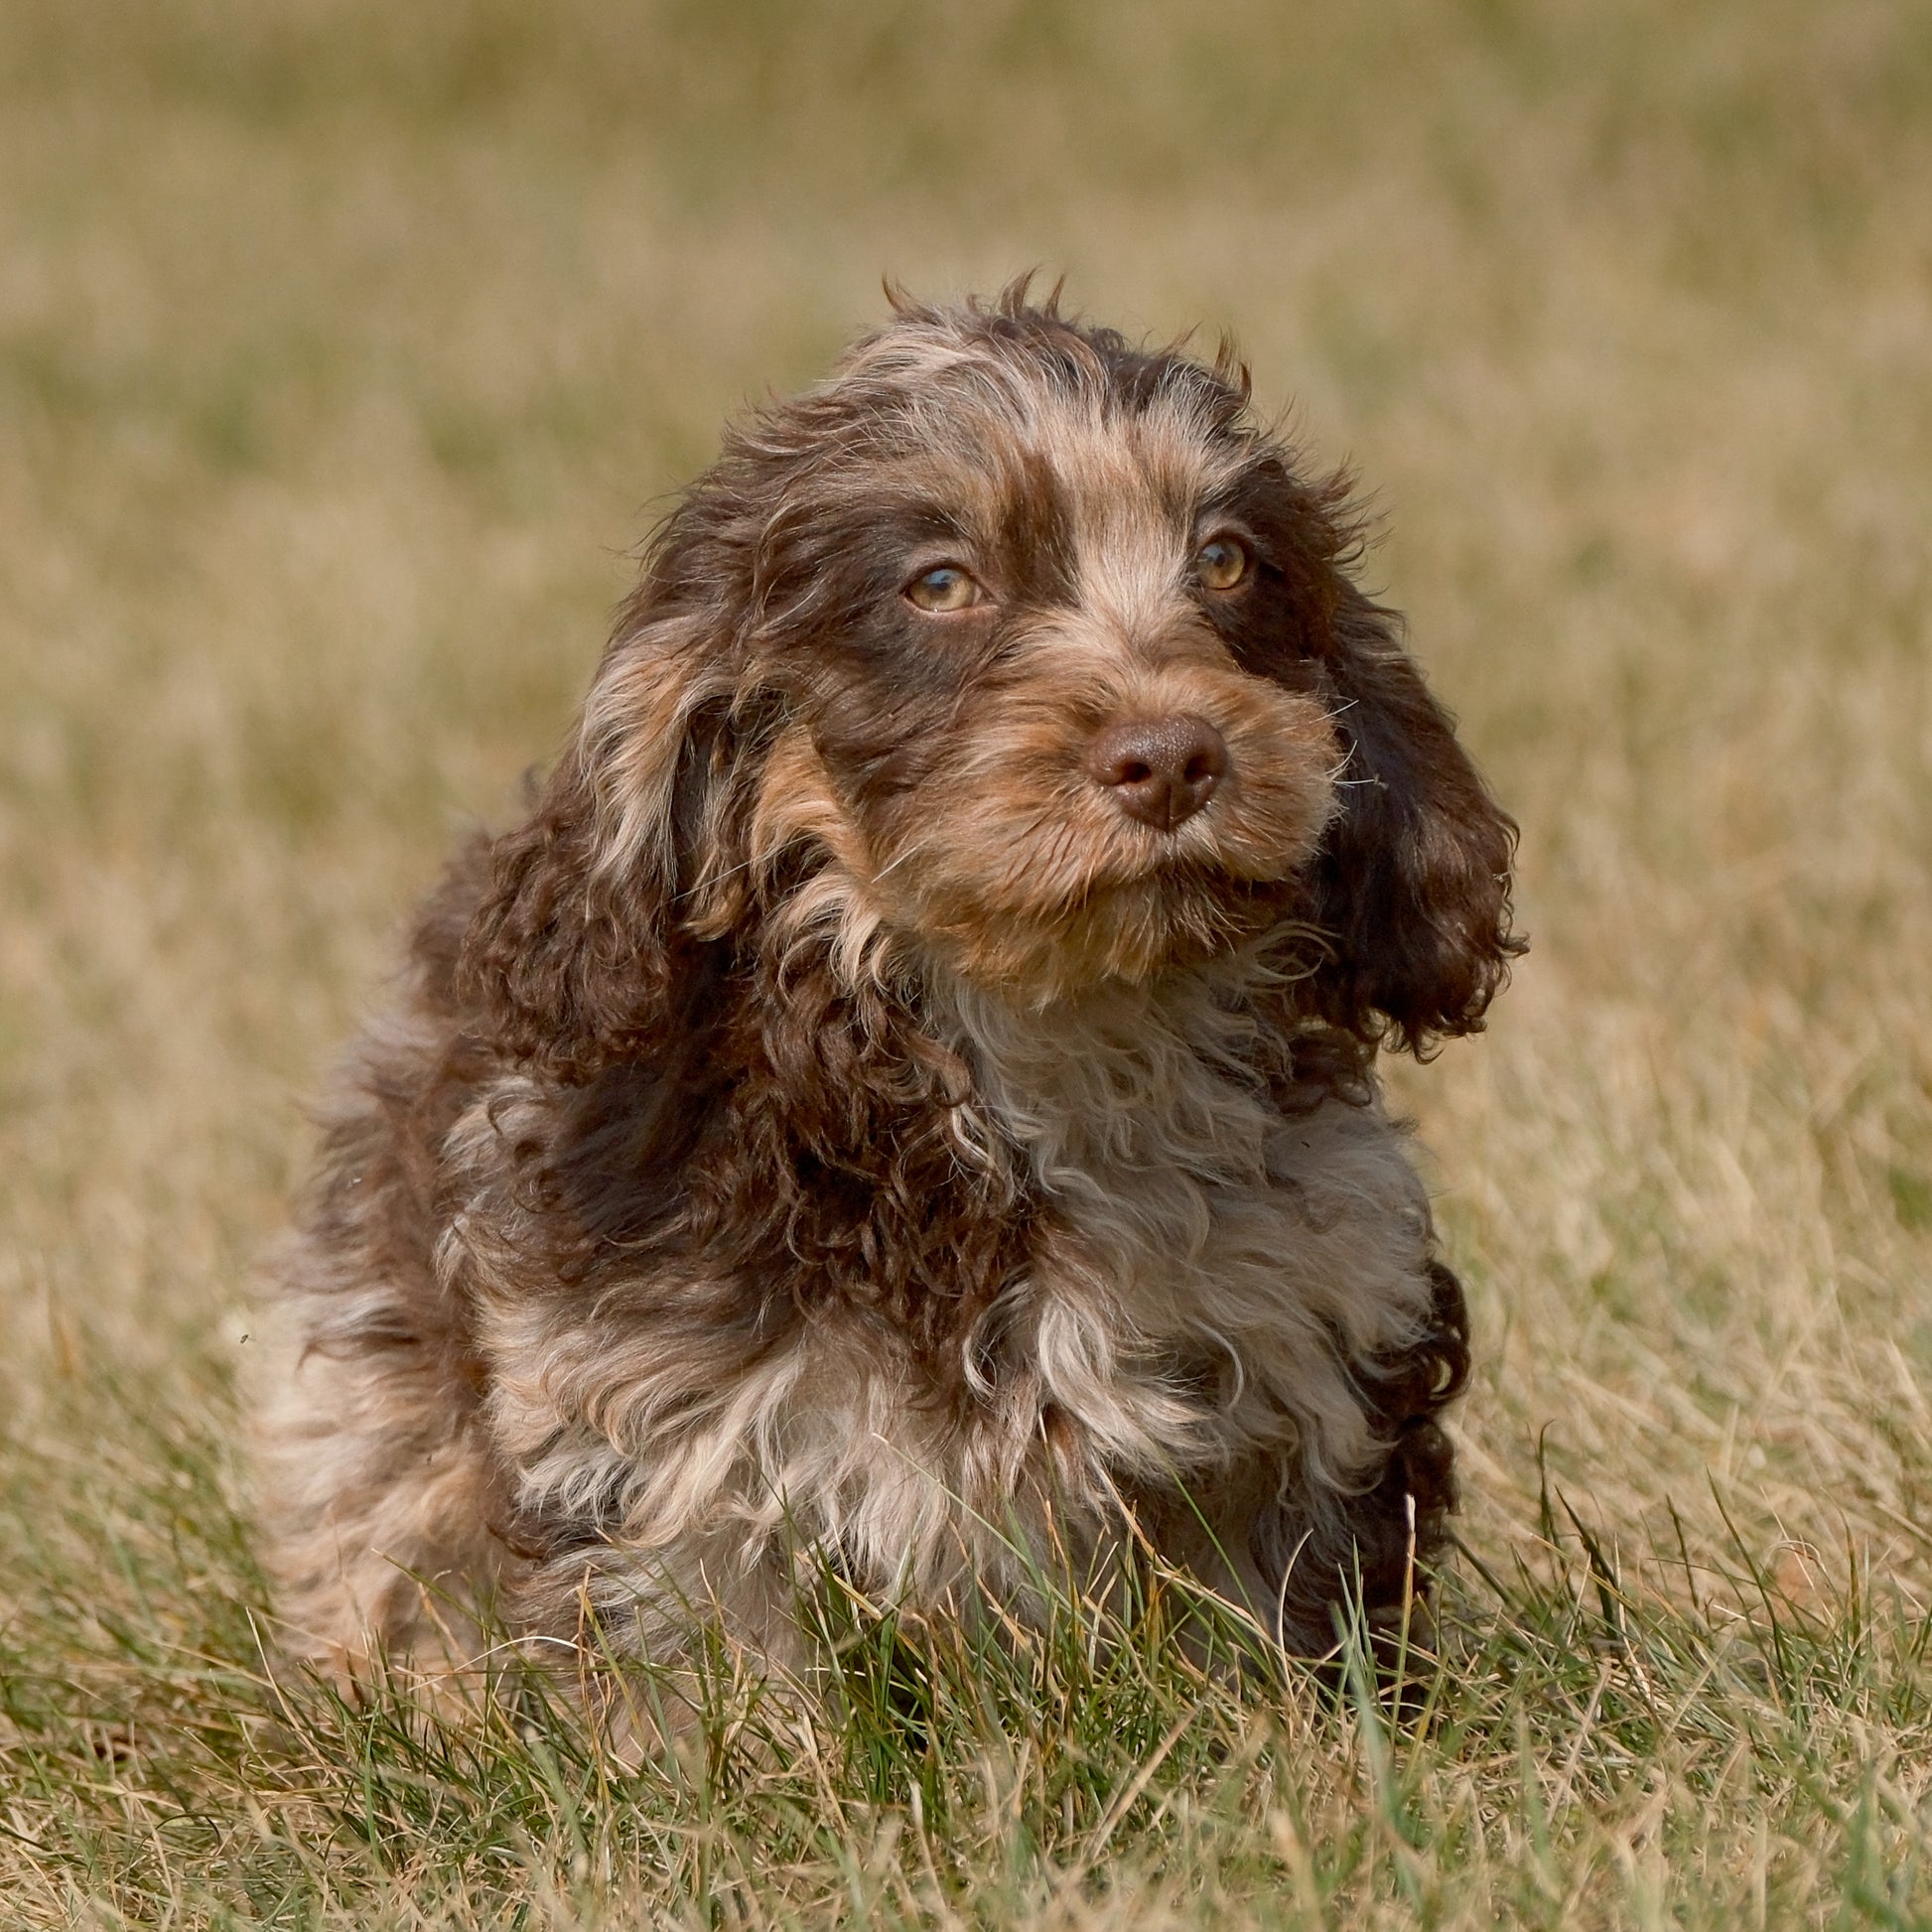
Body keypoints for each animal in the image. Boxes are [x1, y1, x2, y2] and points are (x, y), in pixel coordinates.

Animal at [260, 280, 1522, 1700]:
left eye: (1226, 562)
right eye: (938, 584)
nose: (1173, 756)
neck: (1046, 1035)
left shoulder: (1308, 1343)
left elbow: (1275, 1625)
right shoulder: (661, 1419)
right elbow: (705, 1664)